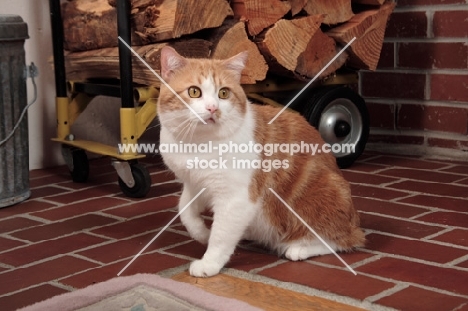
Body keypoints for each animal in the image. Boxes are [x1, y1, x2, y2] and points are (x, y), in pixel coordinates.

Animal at [157, 47, 366, 278]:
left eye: (223, 93)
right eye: (194, 92)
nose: (213, 108)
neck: (198, 143)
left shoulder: (236, 197)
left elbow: (221, 235)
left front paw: (209, 262)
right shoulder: (195, 183)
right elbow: (184, 210)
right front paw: (202, 232)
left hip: (326, 192)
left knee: (343, 241)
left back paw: (299, 248)